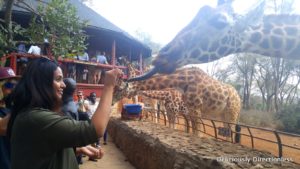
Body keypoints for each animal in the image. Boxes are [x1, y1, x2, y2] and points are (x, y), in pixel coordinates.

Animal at [113, 66, 241, 137]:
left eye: (119, 89)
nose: (112, 101)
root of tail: (239, 98)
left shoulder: (192, 110)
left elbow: (195, 132)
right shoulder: (183, 111)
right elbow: (174, 127)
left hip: (232, 113)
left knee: (232, 131)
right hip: (222, 115)